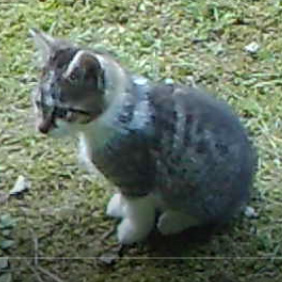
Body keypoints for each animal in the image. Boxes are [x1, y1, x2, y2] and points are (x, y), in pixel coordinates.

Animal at [29, 29, 256, 245]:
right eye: (39, 103)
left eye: (63, 111)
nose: (42, 128)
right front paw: (120, 206)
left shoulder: (136, 177)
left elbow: (139, 211)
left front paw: (132, 232)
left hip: (201, 187)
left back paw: (173, 220)